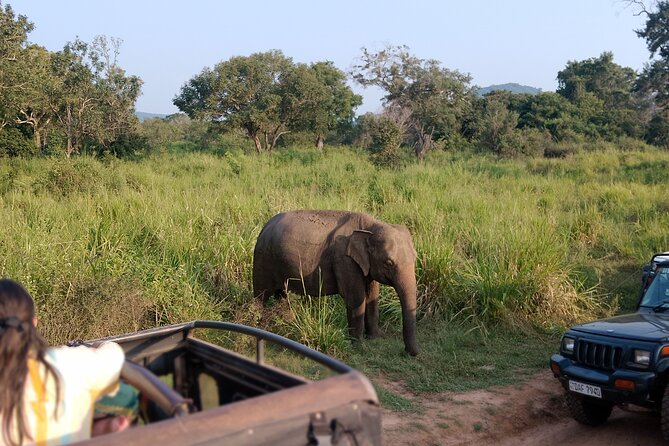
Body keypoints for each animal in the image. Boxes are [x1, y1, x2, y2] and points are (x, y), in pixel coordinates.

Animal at [253, 210, 419, 356]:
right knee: (261, 295)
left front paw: (376, 337)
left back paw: (286, 323)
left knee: (282, 294)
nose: (409, 352)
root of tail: (265, 226)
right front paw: (359, 346)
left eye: (415, 257)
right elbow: (356, 298)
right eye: (388, 262)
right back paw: (258, 324)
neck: (370, 225)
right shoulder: (344, 261)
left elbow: (372, 295)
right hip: (263, 259)